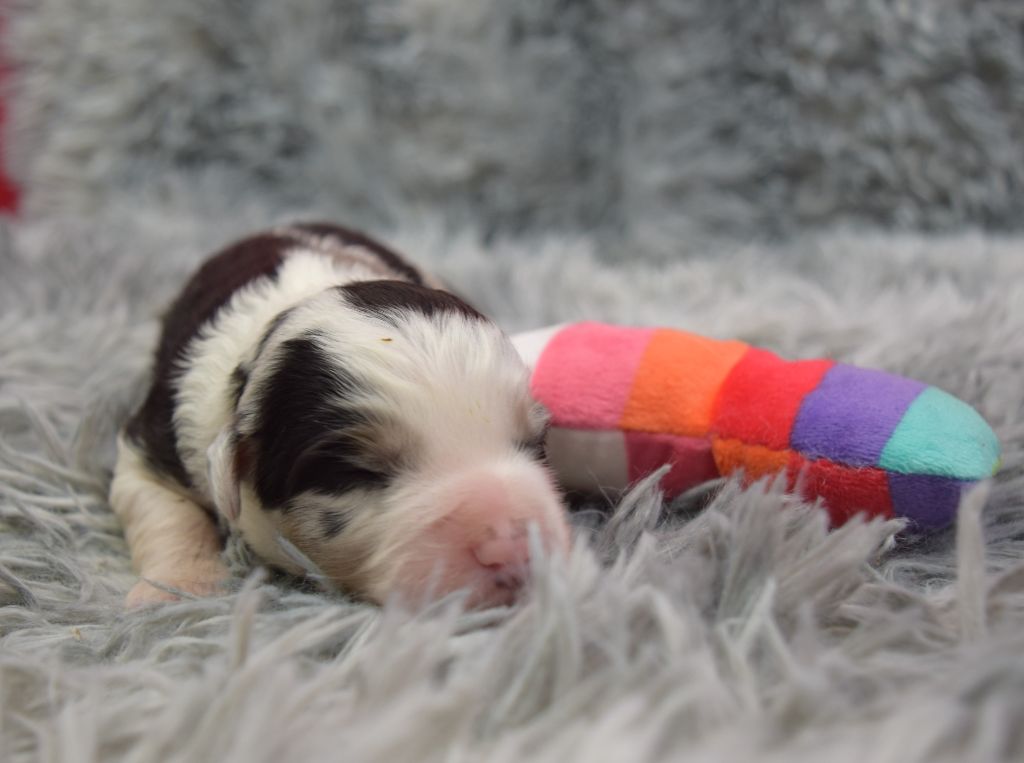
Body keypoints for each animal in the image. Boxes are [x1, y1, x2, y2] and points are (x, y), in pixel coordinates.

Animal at [110, 223, 570, 608]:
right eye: (356, 472)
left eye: (535, 445)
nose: (515, 547)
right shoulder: (153, 444)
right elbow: (168, 513)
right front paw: (176, 590)